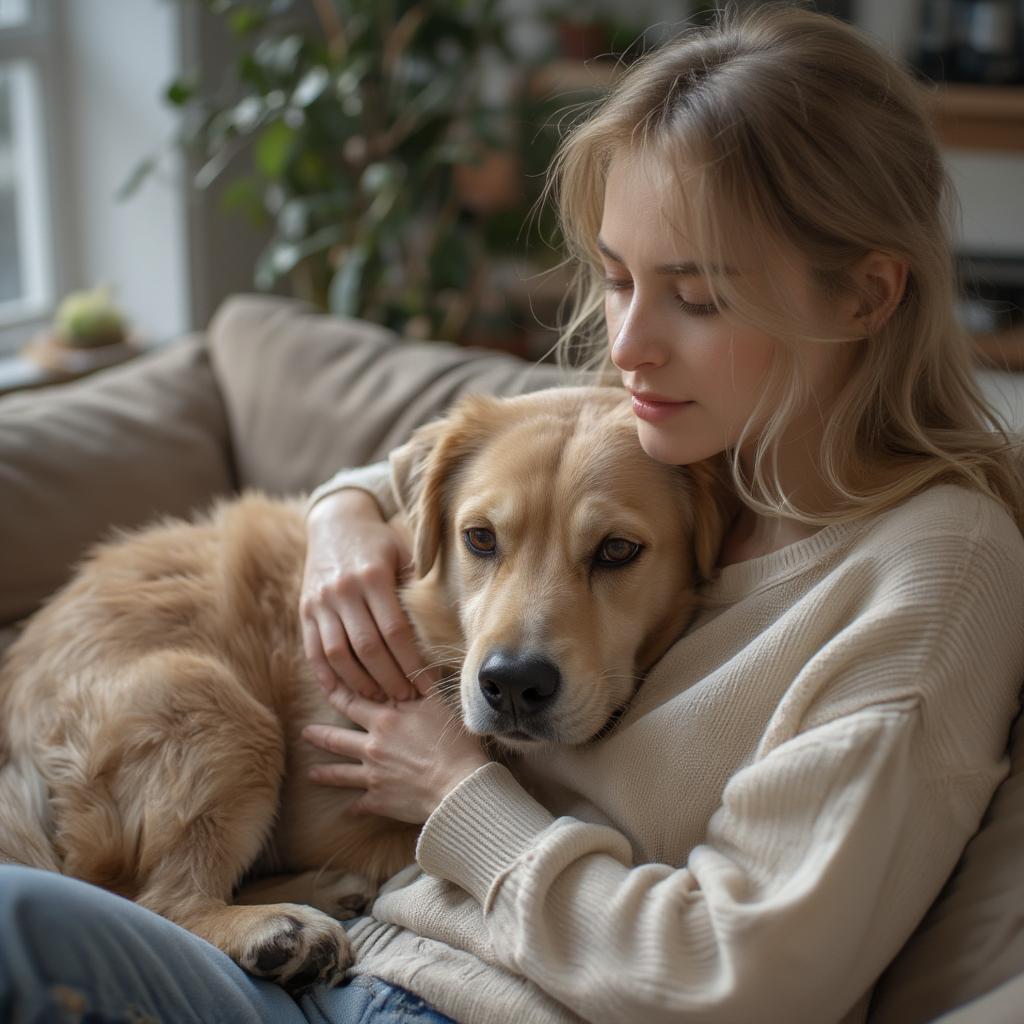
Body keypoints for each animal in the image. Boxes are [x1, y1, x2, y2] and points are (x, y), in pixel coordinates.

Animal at [0, 385, 729, 991]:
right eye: (480, 539)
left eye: (617, 551)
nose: (512, 684)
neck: (433, 633)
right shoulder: (330, 812)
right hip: (219, 705)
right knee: (154, 897)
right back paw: (279, 930)